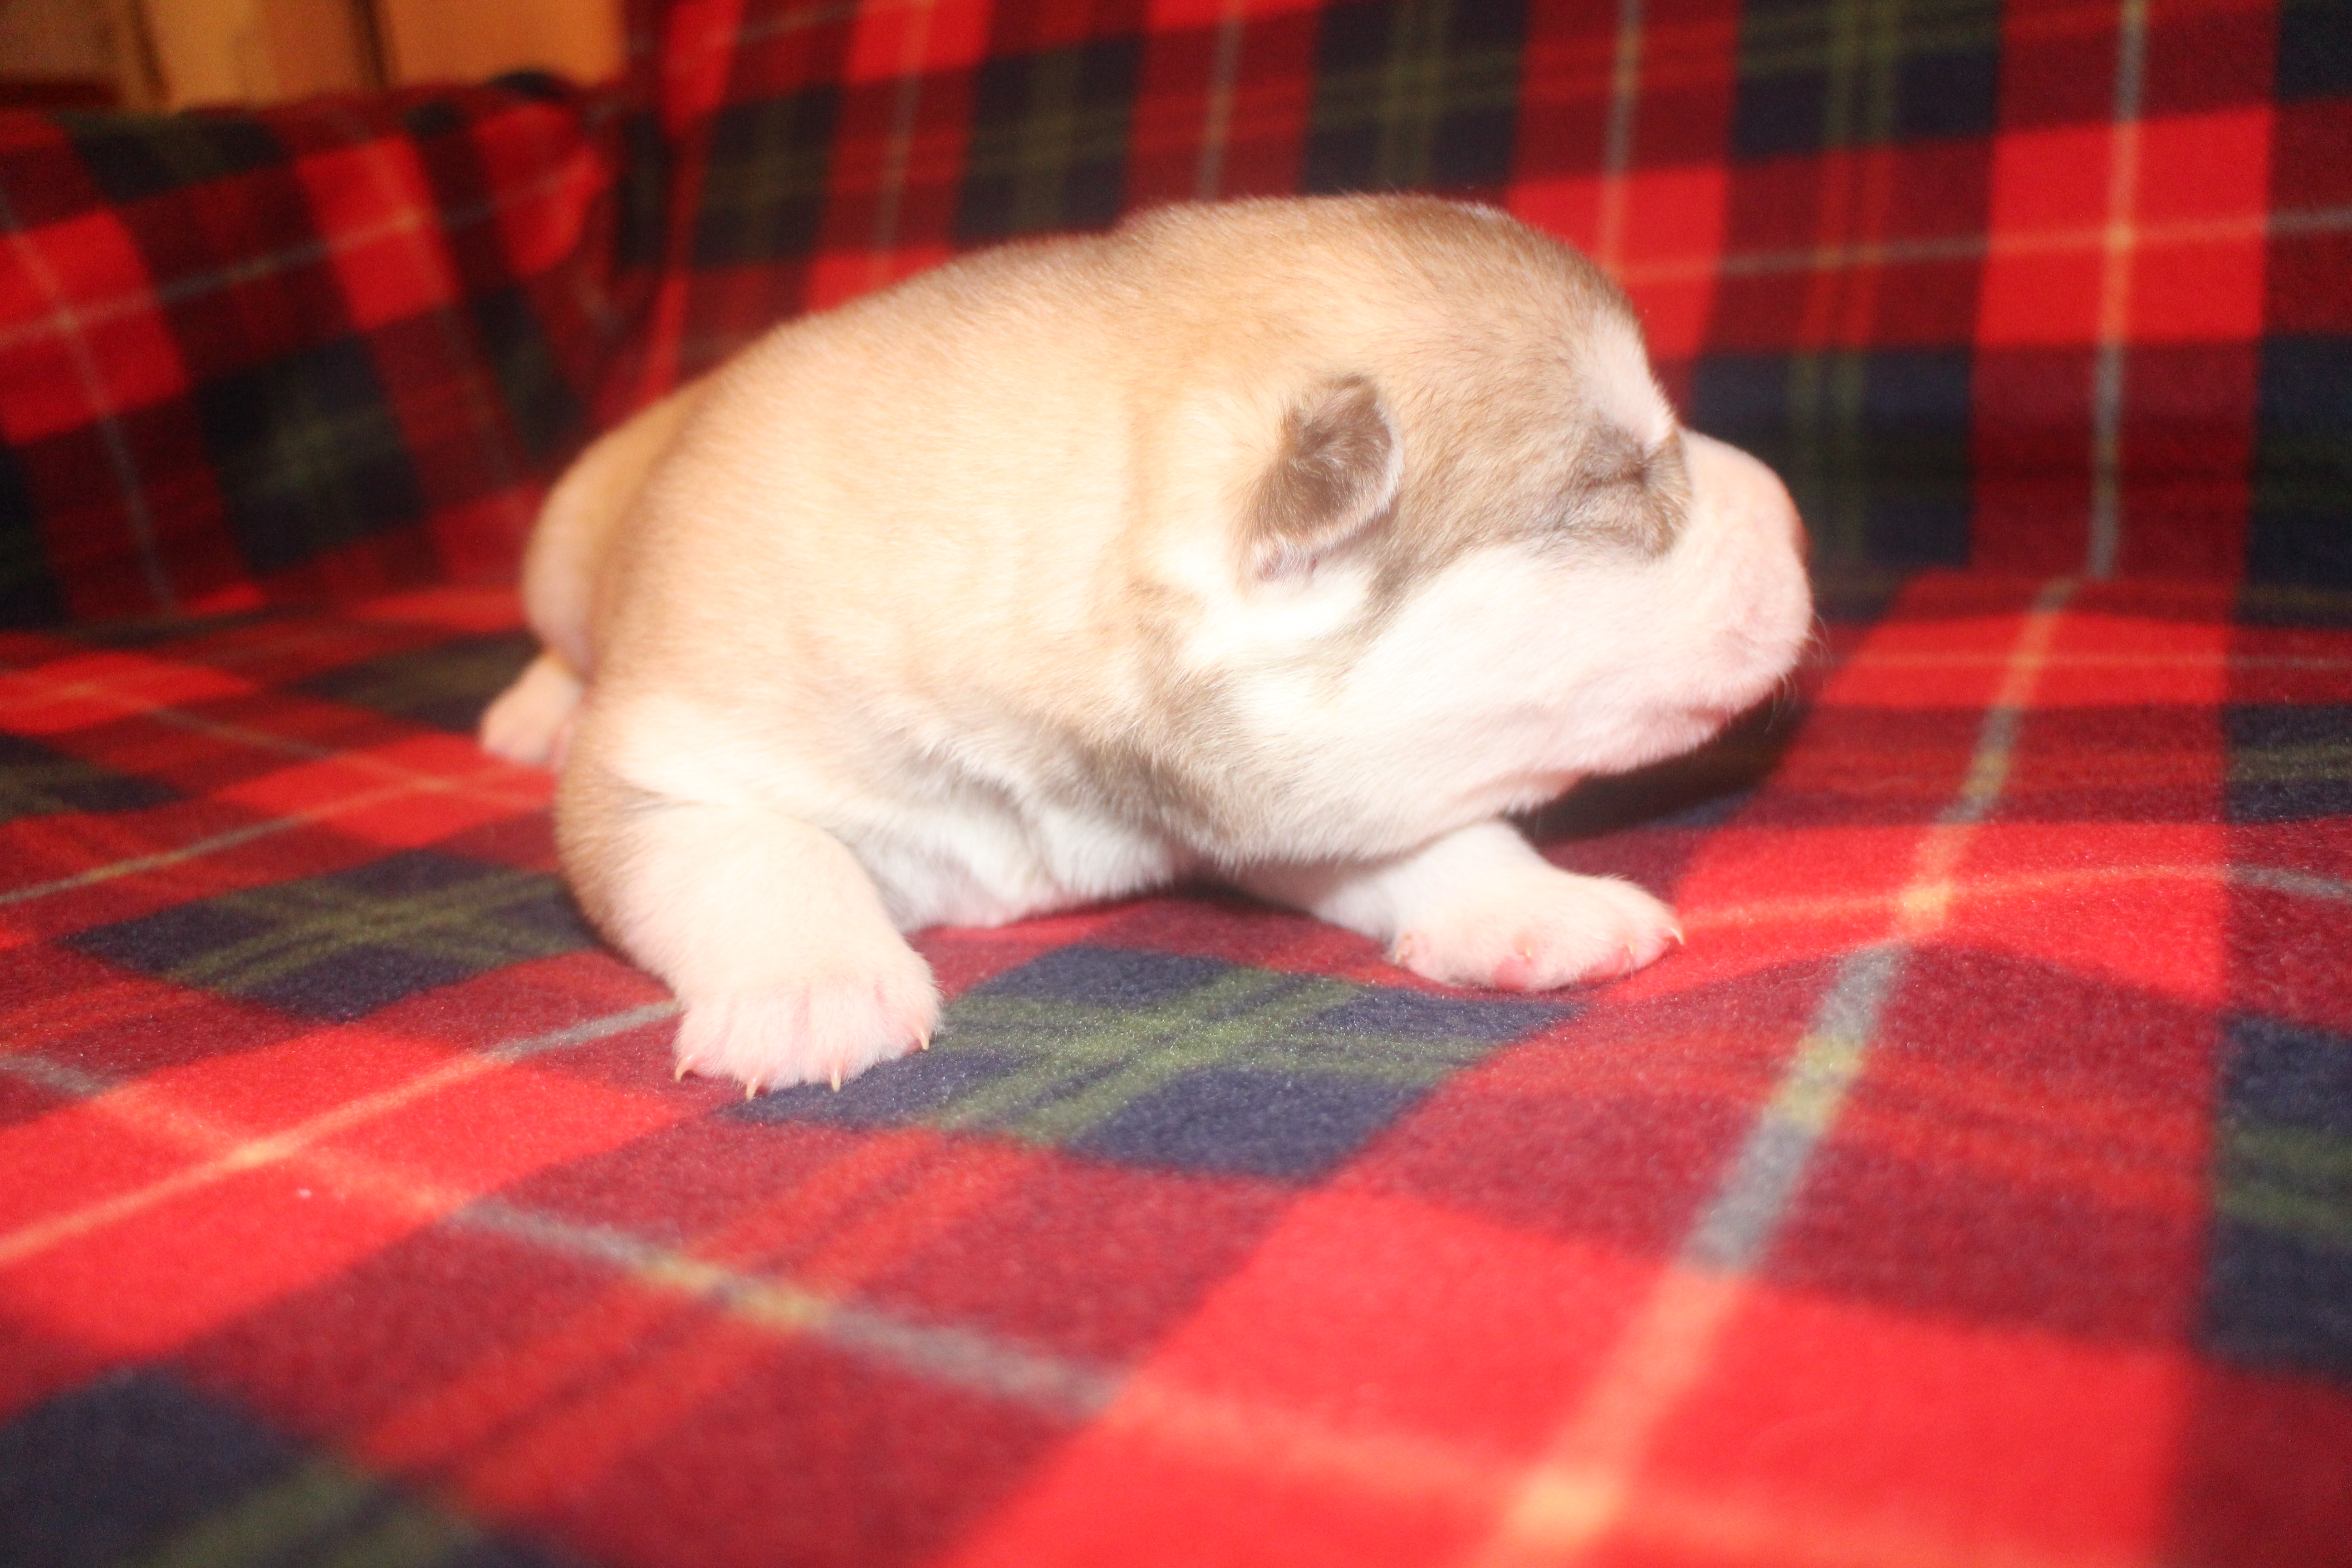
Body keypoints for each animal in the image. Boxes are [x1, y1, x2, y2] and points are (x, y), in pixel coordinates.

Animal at [480, 194, 1813, 1094]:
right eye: (1621, 479)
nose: (1801, 520)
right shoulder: (662, 763)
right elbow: (762, 846)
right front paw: (814, 990)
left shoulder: (1266, 794)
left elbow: (1423, 830)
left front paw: (1533, 903)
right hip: (563, 536)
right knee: (559, 641)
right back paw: (532, 712)